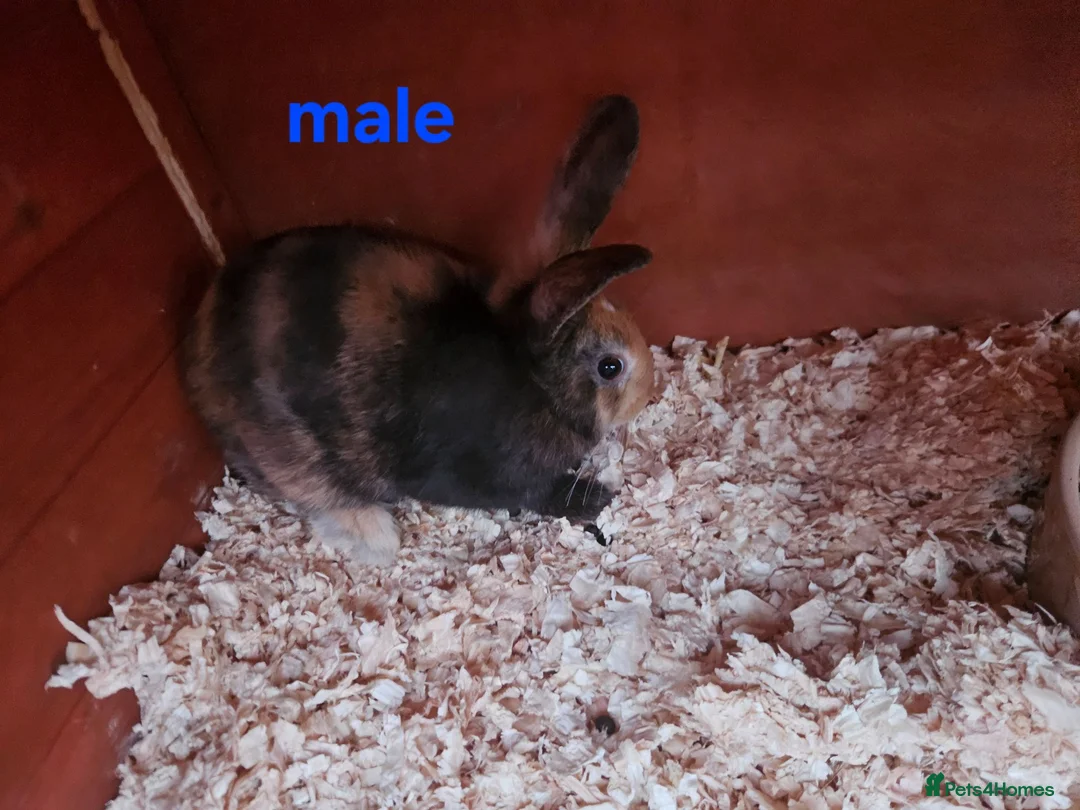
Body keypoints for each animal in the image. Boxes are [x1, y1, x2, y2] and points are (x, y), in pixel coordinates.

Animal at [183, 94, 655, 567]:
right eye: (610, 367)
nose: (649, 392)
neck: (534, 383)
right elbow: (534, 494)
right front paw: (595, 499)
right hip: (300, 465)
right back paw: (376, 538)